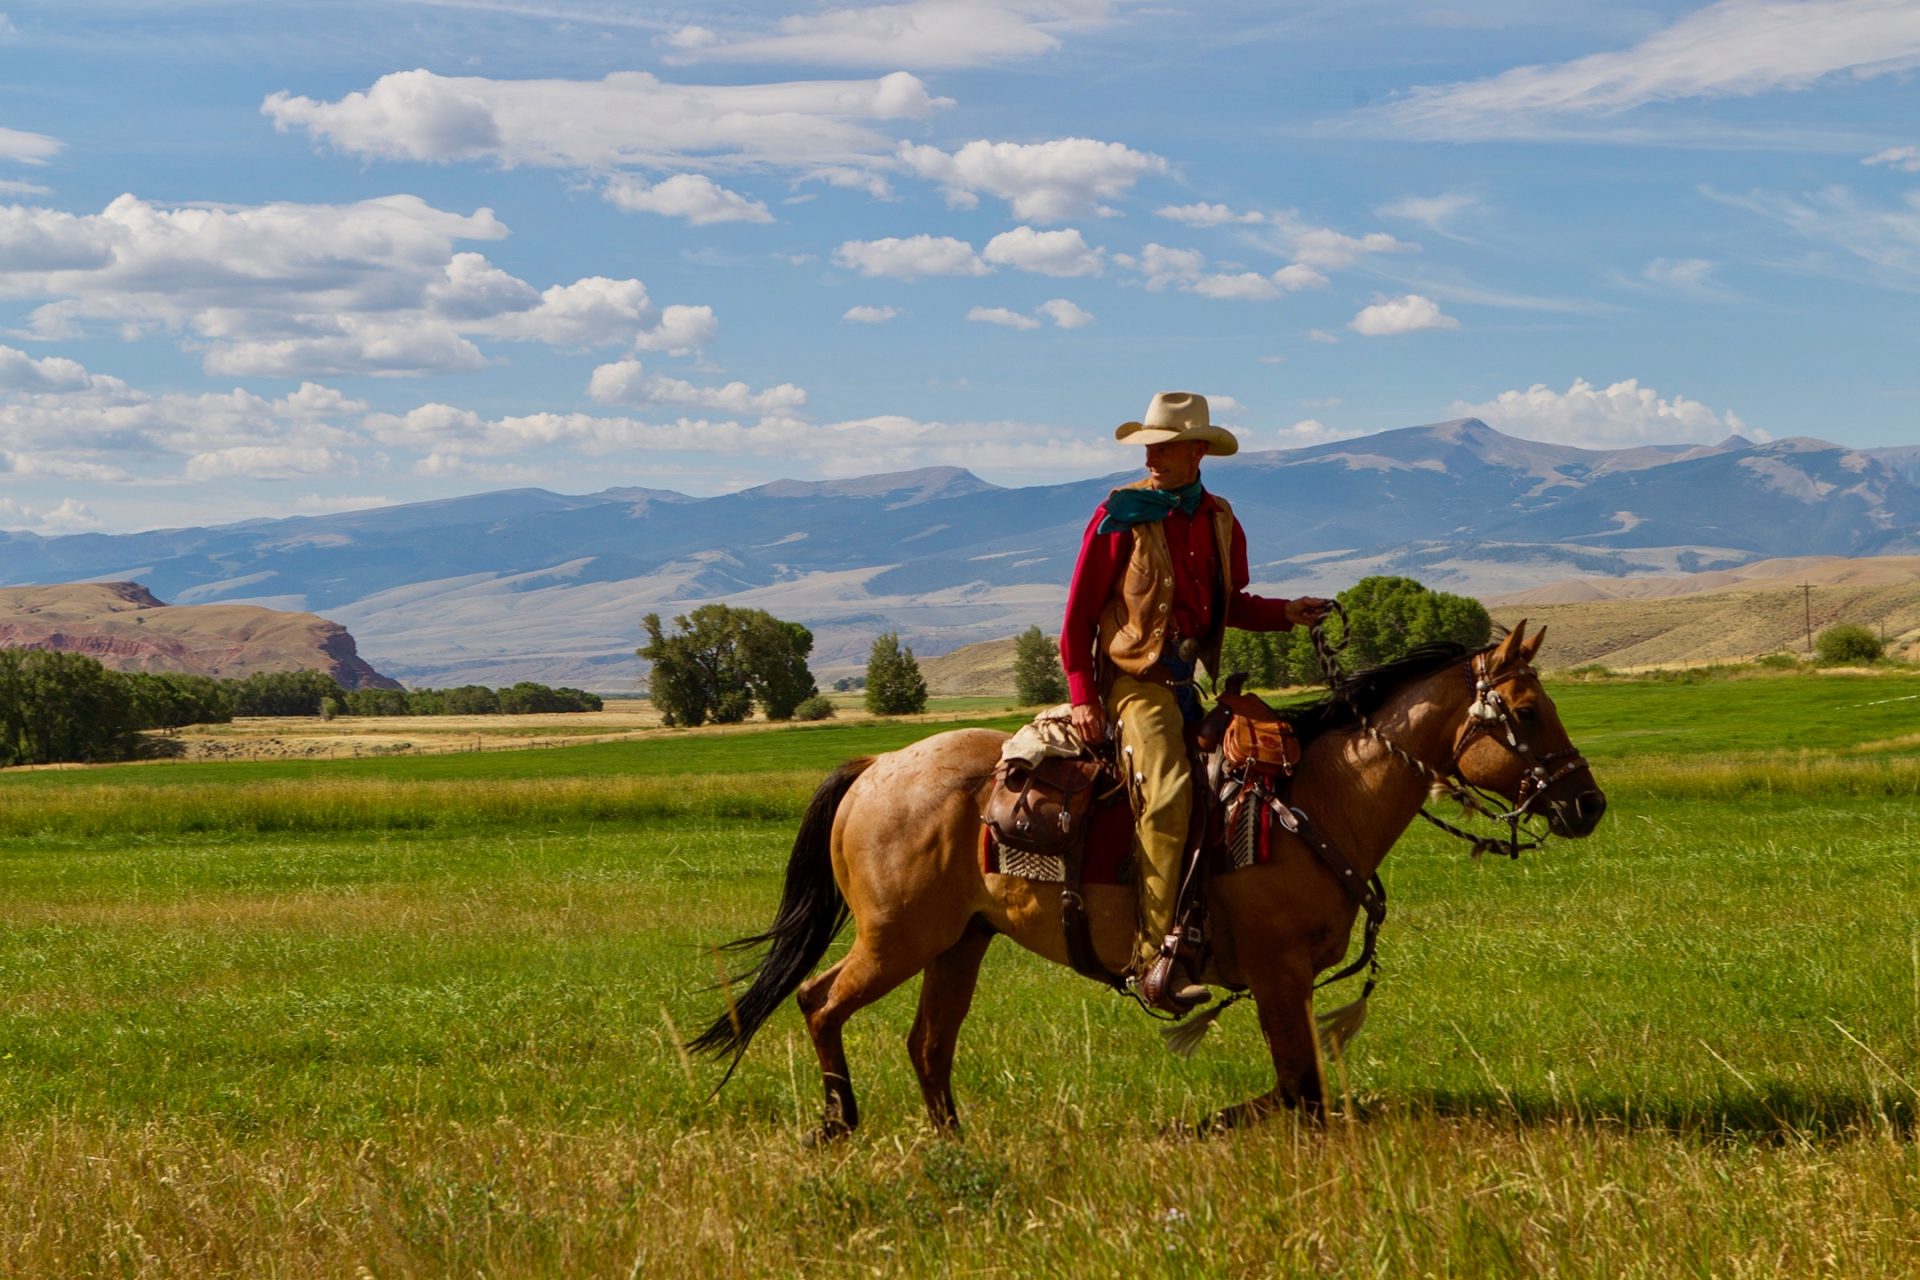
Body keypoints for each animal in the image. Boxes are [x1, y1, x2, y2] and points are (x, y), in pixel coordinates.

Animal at [691, 625, 1605, 1136]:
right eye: (1527, 712)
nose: (1588, 803)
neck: (1319, 798)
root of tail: (877, 765)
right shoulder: (1277, 976)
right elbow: (1299, 1094)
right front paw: (1208, 1124)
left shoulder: (1288, 983)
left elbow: (1296, 1091)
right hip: (896, 940)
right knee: (819, 1001)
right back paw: (837, 1125)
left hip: (959, 943)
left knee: (928, 1043)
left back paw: (953, 1142)